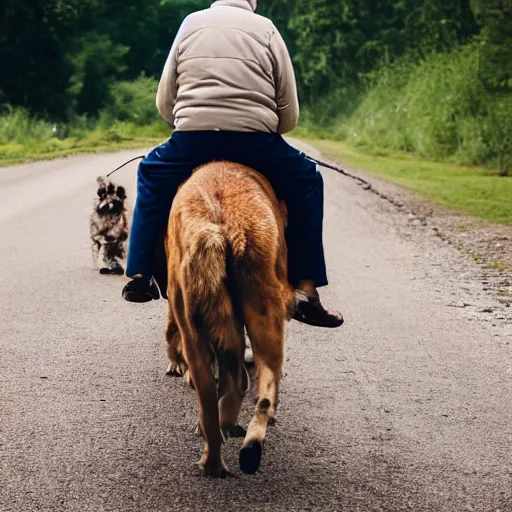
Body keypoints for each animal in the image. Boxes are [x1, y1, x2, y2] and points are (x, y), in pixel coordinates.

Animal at [166, 162, 294, 478]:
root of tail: (217, 225)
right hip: (264, 315)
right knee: (258, 390)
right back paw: (249, 446)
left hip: (193, 328)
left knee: (211, 400)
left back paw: (215, 463)